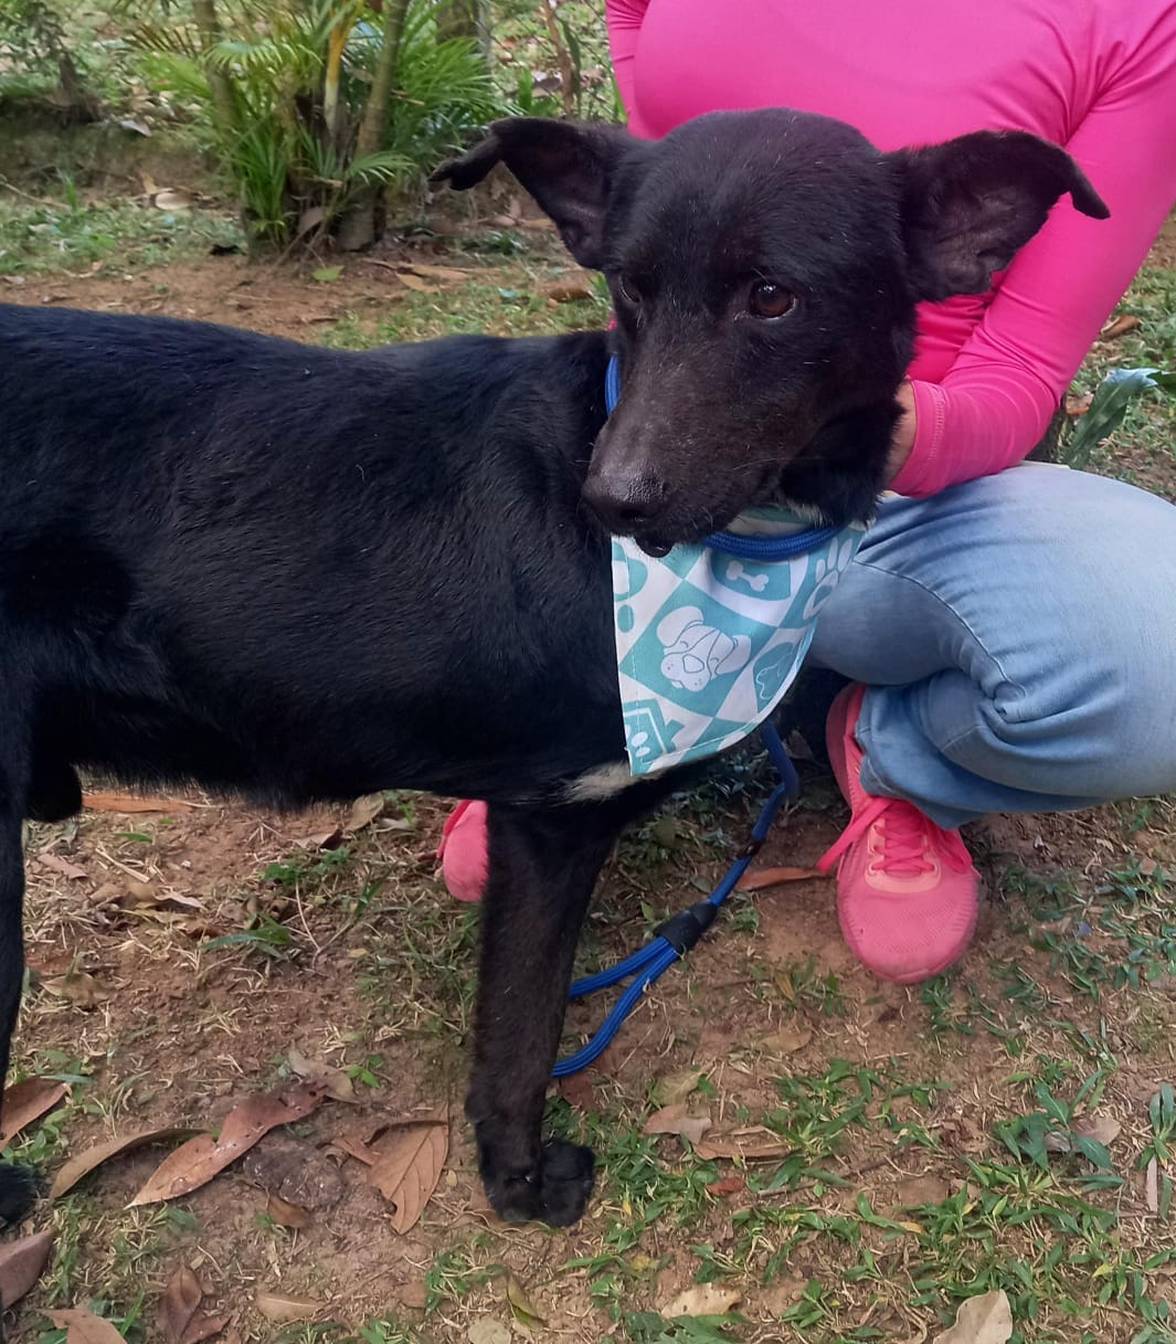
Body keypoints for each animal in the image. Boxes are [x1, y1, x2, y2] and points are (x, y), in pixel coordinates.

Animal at [0, 108, 1106, 1229]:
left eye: (773, 297)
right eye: (630, 290)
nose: (610, 499)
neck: (740, 557)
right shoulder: (548, 824)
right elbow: (521, 1032)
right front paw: (519, 1180)